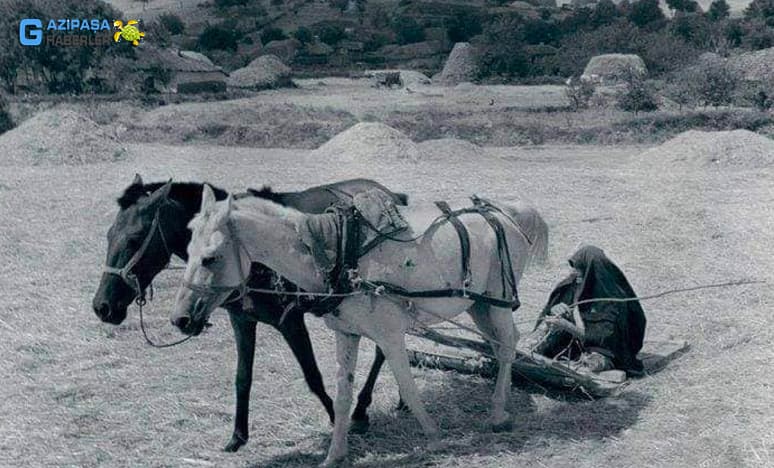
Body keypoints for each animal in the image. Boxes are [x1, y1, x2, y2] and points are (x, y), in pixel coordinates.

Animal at [92, 175, 400, 450]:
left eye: (134, 239)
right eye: (108, 235)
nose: (102, 307)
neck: (249, 257)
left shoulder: (290, 322)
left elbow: (312, 375)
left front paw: (339, 420)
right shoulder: (242, 320)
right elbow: (242, 378)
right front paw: (238, 435)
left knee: (383, 348)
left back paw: (362, 409)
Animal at [173, 185, 548, 466]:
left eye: (210, 258)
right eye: (187, 249)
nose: (180, 319)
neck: (339, 252)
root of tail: (506, 210)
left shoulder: (391, 335)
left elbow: (408, 387)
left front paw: (434, 436)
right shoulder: (347, 333)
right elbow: (342, 395)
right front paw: (335, 454)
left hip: (497, 300)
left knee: (506, 346)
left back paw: (498, 413)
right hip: (478, 305)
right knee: (501, 345)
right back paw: (503, 404)